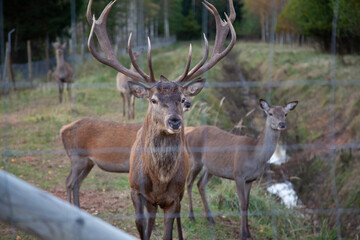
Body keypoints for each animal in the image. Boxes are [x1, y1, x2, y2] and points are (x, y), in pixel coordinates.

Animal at [60, 100, 193, 207]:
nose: (188, 103)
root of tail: (63, 130)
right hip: (77, 157)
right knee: (69, 182)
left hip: (88, 162)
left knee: (77, 182)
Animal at [86, 0, 235, 238]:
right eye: (153, 100)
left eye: (183, 99)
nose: (175, 121)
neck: (159, 181)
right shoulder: (136, 191)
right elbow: (143, 228)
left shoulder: (173, 198)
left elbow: (168, 232)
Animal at [186, 98, 298, 239]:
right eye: (270, 113)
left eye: (285, 114)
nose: (282, 124)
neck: (254, 156)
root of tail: (188, 132)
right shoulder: (238, 174)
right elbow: (242, 203)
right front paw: (243, 234)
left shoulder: (250, 179)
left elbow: (248, 203)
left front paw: (248, 232)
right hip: (195, 159)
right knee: (189, 182)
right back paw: (191, 217)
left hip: (210, 168)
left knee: (200, 184)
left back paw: (210, 219)